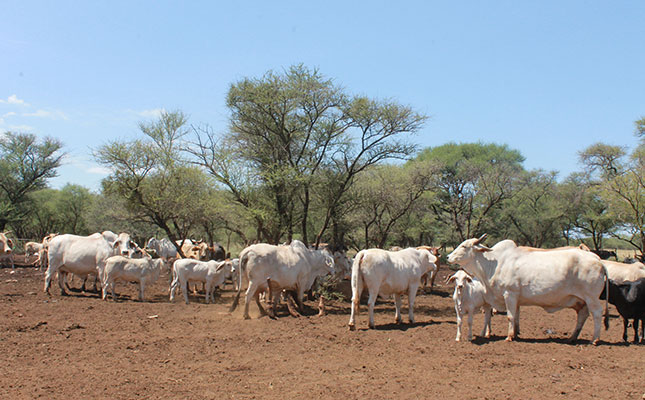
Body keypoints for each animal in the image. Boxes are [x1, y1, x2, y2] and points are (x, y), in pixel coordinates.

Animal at [448, 234, 608, 344]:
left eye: (464, 246)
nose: (449, 256)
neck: (495, 264)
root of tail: (598, 259)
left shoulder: (509, 294)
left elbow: (510, 316)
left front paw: (509, 337)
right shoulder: (516, 298)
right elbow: (516, 316)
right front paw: (515, 333)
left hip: (591, 298)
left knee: (596, 314)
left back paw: (595, 339)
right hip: (580, 300)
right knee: (582, 315)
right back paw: (572, 337)